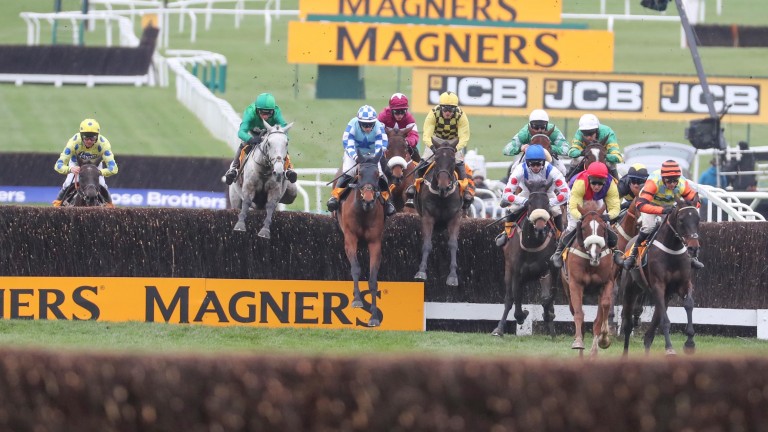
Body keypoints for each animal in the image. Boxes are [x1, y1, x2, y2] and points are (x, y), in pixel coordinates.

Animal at [336, 151, 388, 324]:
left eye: (377, 174)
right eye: (359, 174)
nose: (369, 199)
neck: (363, 212)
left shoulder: (375, 242)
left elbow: (373, 279)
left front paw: (374, 316)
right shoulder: (350, 238)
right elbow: (356, 268)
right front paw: (357, 299)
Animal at [414, 137, 462, 288]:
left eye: (453, 159)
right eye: (436, 158)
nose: (443, 186)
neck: (442, 196)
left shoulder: (455, 217)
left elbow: (453, 244)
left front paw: (452, 276)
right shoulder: (428, 216)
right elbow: (427, 244)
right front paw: (421, 271)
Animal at [492, 178, 560, 338]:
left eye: (547, 203)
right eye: (529, 203)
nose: (540, 228)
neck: (533, 244)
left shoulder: (548, 271)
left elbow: (548, 298)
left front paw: (548, 316)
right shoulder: (516, 272)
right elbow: (516, 298)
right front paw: (522, 315)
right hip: (508, 271)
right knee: (509, 299)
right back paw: (499, 329)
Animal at [560, 201, 616, 356]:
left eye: (603, 227)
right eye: (584, 227)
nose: (594, 254)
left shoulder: (607, 282)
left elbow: (605, 307)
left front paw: (603, 340)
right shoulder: (575, 284)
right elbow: (579, 313)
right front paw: (578, 342)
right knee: (575, 311)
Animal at [616, 198, 704, 354]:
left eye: (697, 219)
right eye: (681, 220)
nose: (693, 248)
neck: (672, 250)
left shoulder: (684, 283)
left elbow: (689, 304)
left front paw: (690, 342)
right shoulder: (658, 285)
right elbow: (665, 321)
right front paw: (669, 348)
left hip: (664, 295)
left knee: (651, 330)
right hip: (629, 291)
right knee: (628, 324)